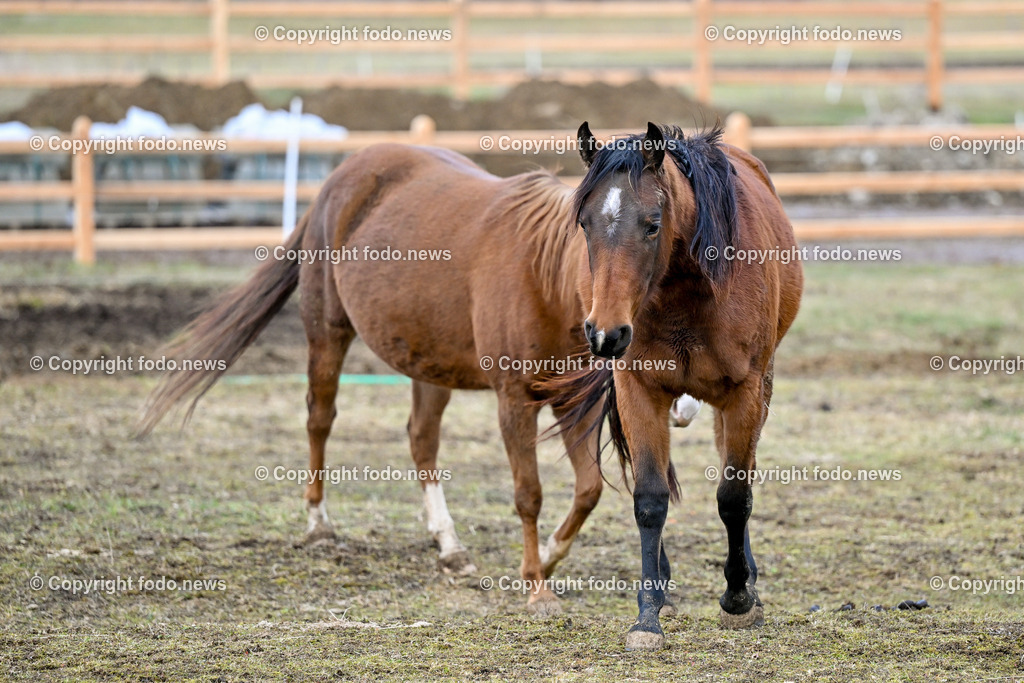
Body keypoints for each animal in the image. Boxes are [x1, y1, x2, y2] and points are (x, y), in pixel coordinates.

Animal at [136, 138, 701, 615]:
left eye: (656, 228)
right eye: (586, 226)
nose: (611, 335)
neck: (544, 276)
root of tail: (341, 177)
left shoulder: (572, 403)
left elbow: (587, 491)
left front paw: (546, 557)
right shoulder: (513, 401)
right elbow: (529, 493)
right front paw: (537, 587)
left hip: (428, 362)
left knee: (421, 441)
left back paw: (449, 545)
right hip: (327, 333)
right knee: (320, 419)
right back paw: (319, 524)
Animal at [546, 122, 803, 650]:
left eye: (652, 224)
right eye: (585, 224)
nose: (605, 333)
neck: (685, 292)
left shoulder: (745, 392)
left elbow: (734, 496)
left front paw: (738, 598)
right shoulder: (638, 391)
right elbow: (650, 499)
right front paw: (647, 616)